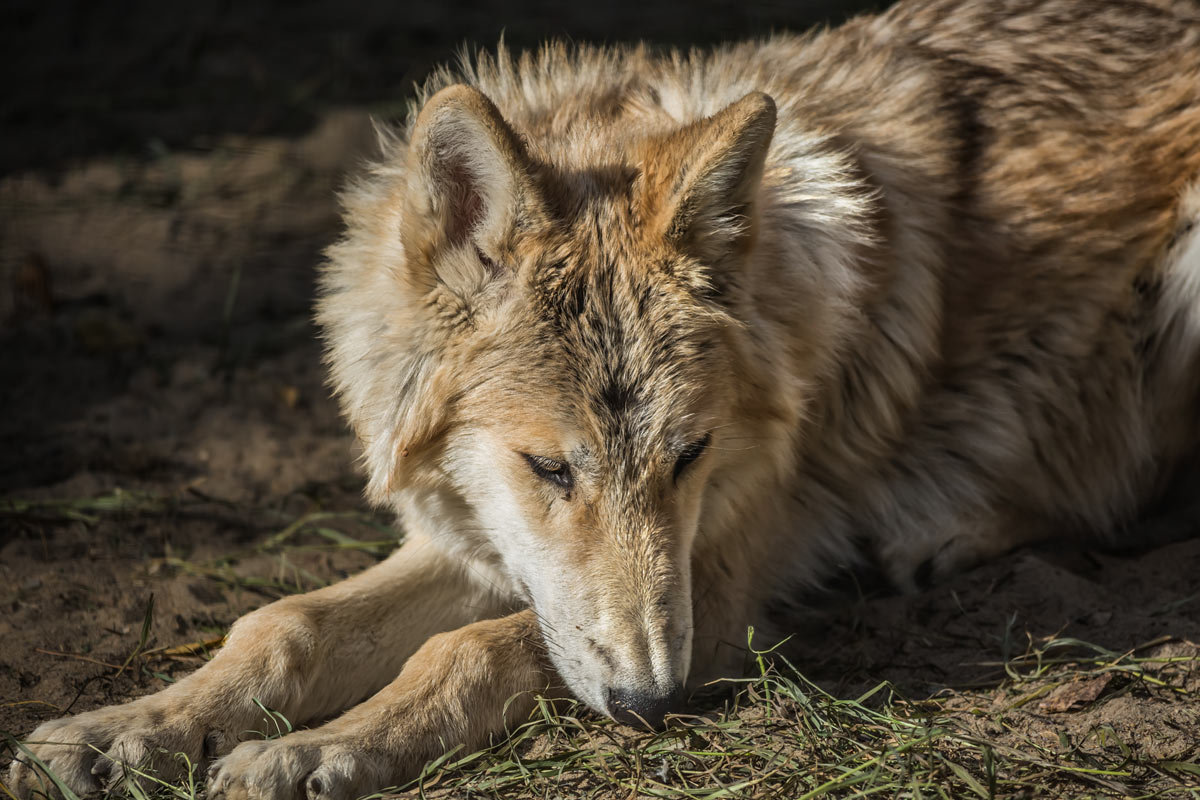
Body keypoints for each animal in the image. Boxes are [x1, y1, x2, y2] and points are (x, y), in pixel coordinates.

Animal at [11, 0, 1200, 796]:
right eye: (549, 467)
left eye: (691, 455)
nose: (654, 705)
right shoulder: (483, 541)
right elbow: (281, 621)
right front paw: (122, 733)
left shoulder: (718, 587)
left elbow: (472, 648)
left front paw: (316, 748)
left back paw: (944, 531)